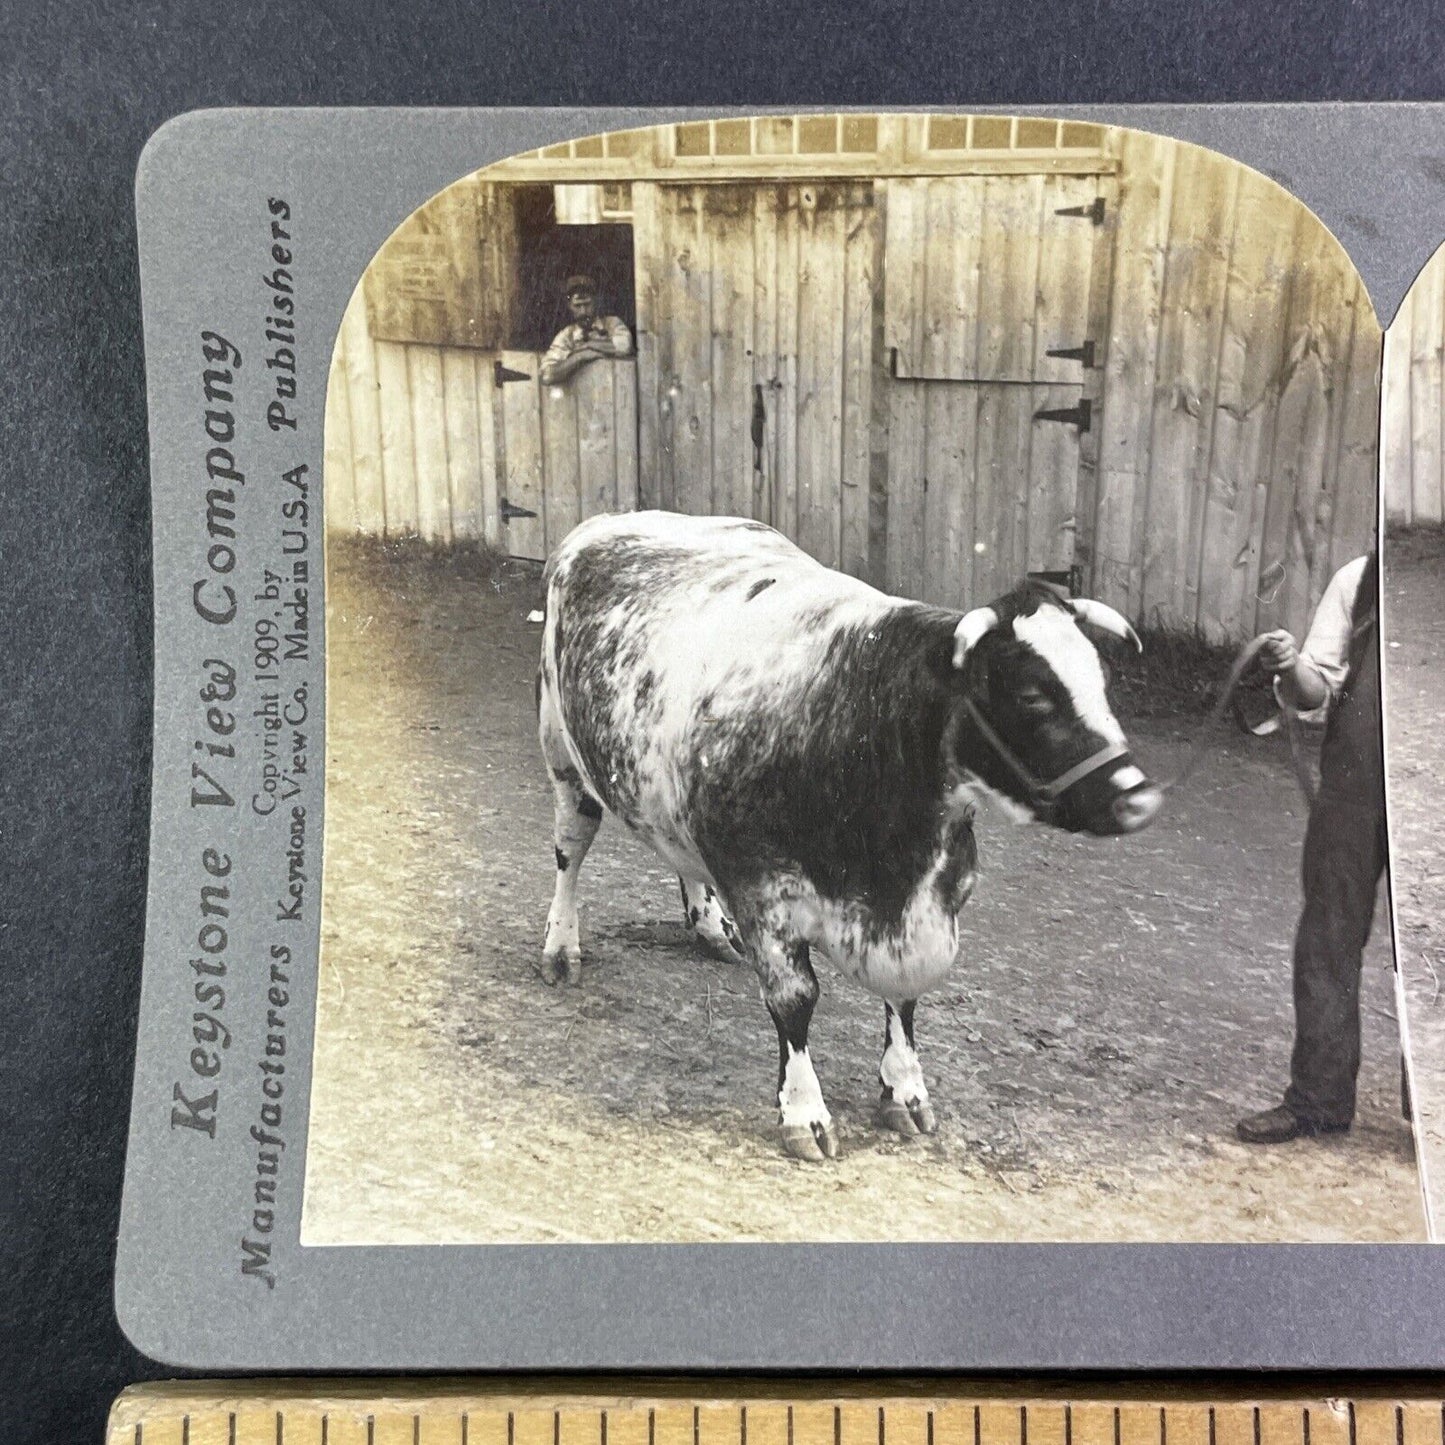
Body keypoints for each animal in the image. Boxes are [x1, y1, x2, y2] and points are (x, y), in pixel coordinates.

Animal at [537, 511, 1156, 1161]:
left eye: (1102, 684)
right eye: (1034, 696)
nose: (1136, 797)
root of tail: (618, 519)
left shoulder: (933, 903)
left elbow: (905, 997)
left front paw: (905, 1089)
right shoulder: (761, 890)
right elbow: (795, 999)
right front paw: (803, 1111)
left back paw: (707, 927)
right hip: (561, 750)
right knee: (570, 850)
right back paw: (561, 946)